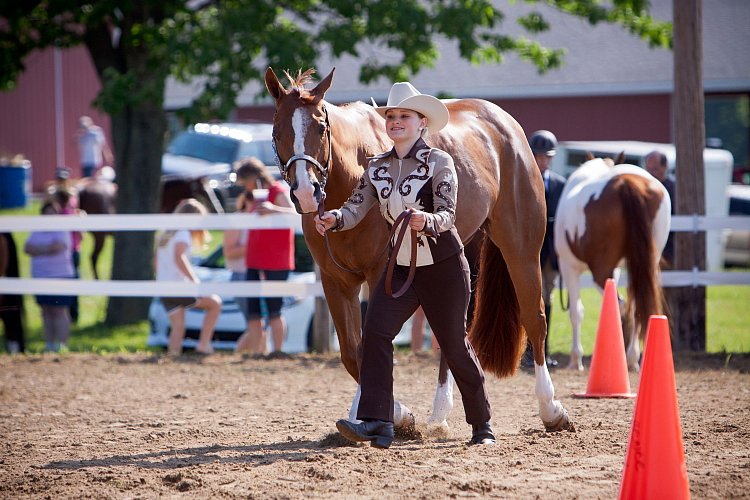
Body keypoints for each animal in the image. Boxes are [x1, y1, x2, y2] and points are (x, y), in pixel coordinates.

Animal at [264, 67, 568, 434]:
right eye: (276, 131)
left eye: (321, 128)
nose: (306, 193)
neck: (350, 177)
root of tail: (504, 124)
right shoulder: (335, 281)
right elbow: (353, 351)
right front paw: (378, 414)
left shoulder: (380, 275)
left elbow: (371, 345)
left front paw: (393, 414)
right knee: (455, 331)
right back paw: (439, 414)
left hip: (521, 247)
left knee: (534, 318)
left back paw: (551, 409)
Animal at [556, 156, 672, 372]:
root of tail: (626, 182)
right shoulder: (617, 270)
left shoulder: (569, 266)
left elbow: (576, 312)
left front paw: (576, 359)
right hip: (645, 266)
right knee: (636, 306)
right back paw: (633, 359)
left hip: (600, 270)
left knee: (622, 307)